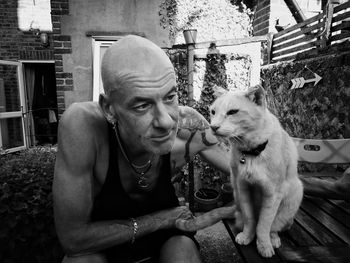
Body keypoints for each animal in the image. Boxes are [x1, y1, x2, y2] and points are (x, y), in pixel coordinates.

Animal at [208, 86, 304, 258]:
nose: (213, 126)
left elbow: (263, 225)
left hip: (294, 194)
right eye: (213, 112)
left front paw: (263, 246)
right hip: (237, 196)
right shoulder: (243, 188)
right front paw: (247, 237)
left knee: (275, 227)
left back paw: (274, 240)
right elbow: (250, 220)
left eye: (232, 112)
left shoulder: (272, 194)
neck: (251, 152)